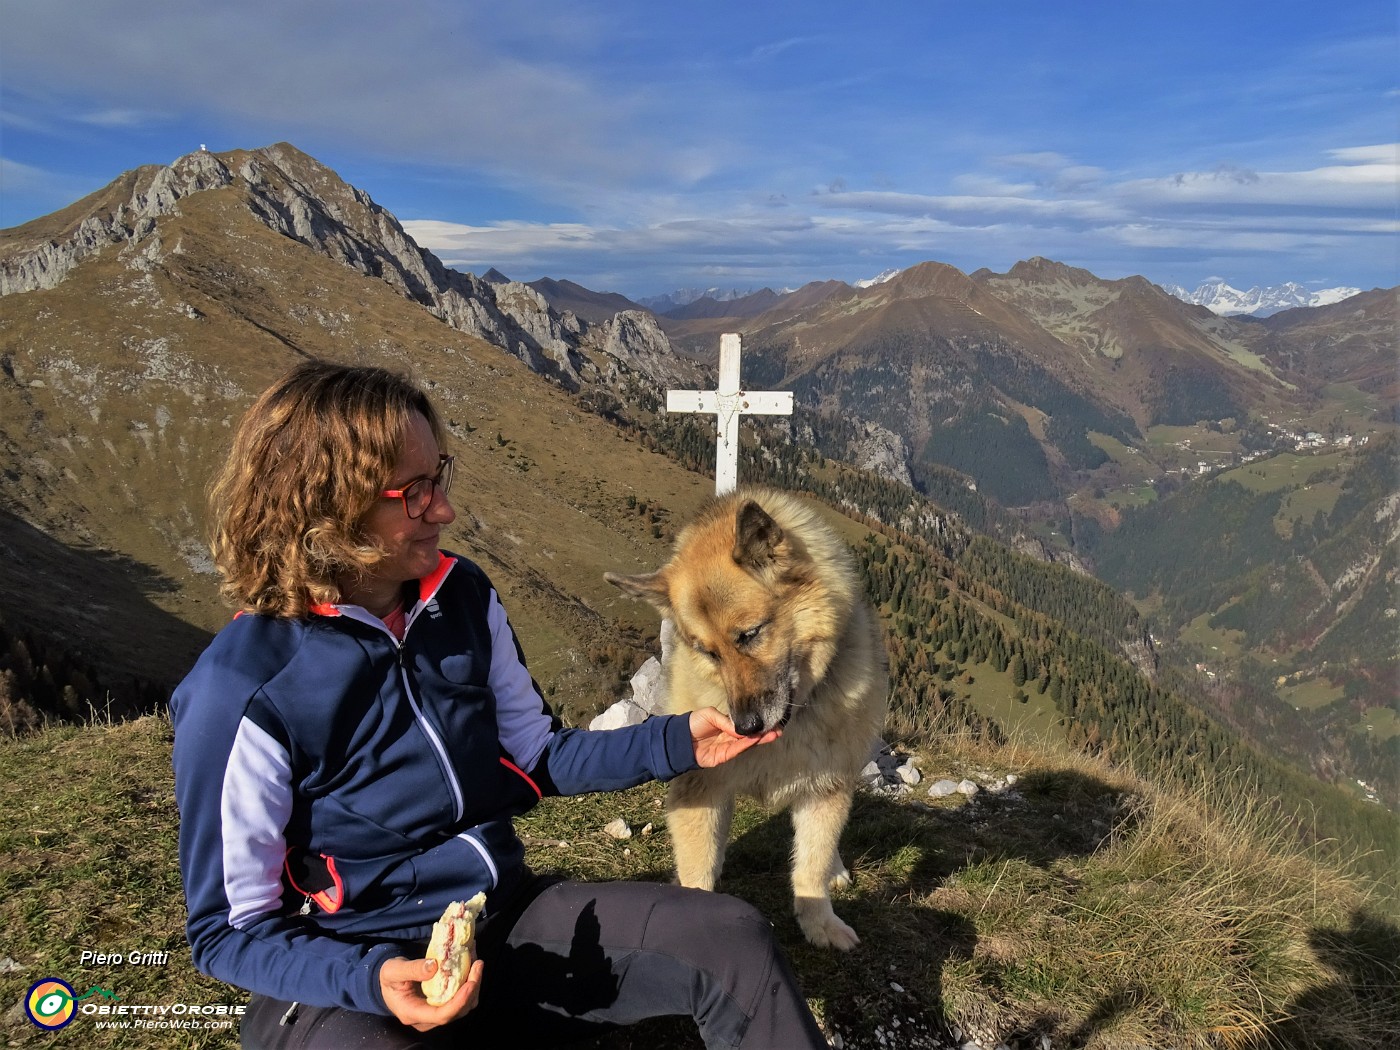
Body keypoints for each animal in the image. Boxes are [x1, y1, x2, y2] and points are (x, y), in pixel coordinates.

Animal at [602, 490, 884, 952]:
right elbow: (697, 870)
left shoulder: (828, 786)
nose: (747, 727)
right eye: (708, 652)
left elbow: (811, 864)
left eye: (750, 634)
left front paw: (820, 924)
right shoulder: (699, 788)